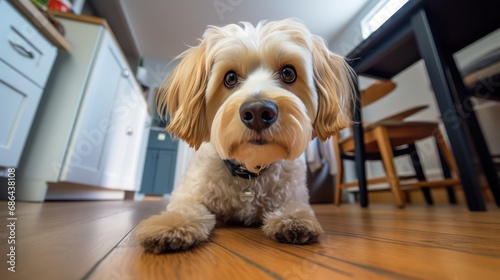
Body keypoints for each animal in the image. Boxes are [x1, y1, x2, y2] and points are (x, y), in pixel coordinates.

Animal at [137, 18, 356, 253]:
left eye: (288, 73)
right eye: (230, 77)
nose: (259, 112)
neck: (250, 171)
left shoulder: (294, 193)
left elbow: (295, 206)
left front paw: (293, 219)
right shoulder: (190, 192)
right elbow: (185, 207)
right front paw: (172, 223)